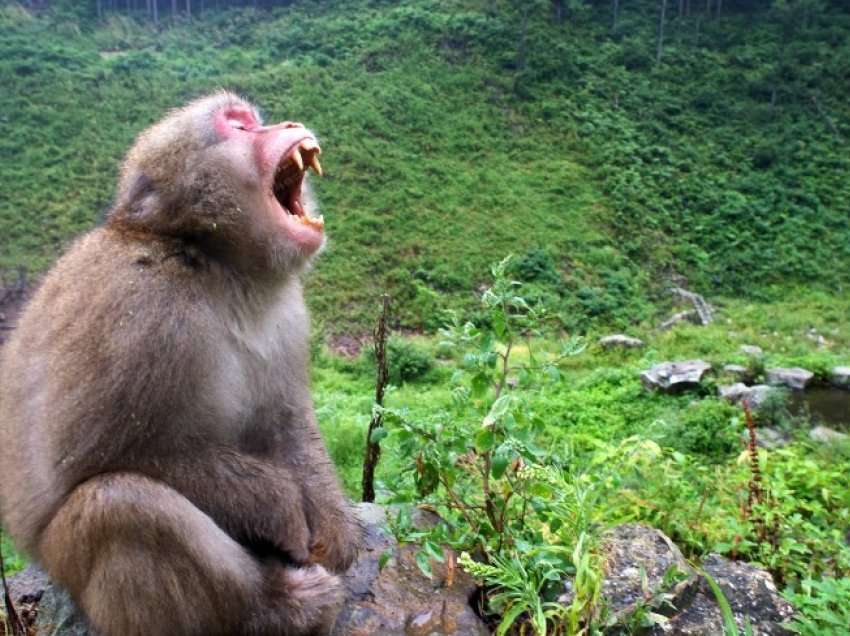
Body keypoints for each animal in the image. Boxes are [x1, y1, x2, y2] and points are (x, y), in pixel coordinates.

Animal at [0, 93, 358, 636]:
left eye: (252, 119)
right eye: (237, 126)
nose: (288, 122)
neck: (219, 266)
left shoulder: (289, 315)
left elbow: (287, 422)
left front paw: (333, 525)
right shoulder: (144, 312)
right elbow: (98, 457)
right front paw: (278, 504)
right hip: (65, 563)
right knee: (119, 505)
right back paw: (275, 608)